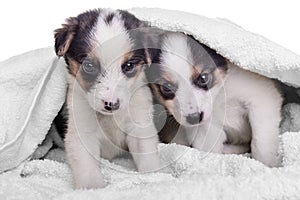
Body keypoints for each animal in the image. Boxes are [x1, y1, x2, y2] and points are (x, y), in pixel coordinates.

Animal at [54, 8, 161, 189]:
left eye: (129, 66)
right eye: (89, 66)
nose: (112, 104)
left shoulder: (139, 125)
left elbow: (147, 155)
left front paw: (154, 176)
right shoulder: (81, 132)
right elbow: (86, 164)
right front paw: (92, 188)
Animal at [148, 32, 284, 167]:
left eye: (204, 77)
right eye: (166, 87)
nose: (194, 118)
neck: (219, 96)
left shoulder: (262, 98)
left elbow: (261, 143)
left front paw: (268, 165)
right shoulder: (205, 129)